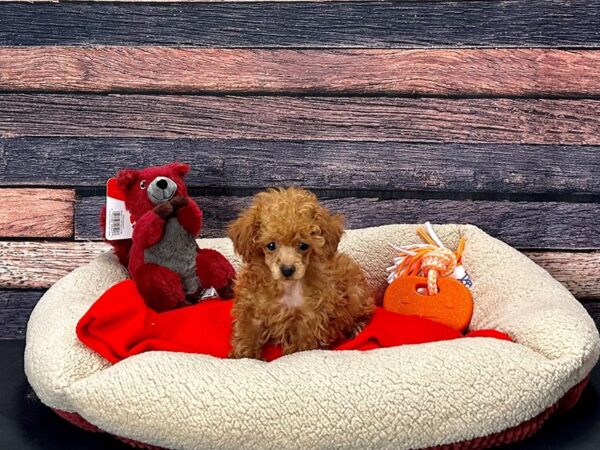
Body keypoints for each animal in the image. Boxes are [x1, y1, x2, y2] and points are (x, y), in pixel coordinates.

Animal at [226, 186, 372, 358]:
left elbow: (299, 348)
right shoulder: (251, 307)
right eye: (271, 245)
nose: (287, 269)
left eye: (303, 246)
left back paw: (357, 327)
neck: (285, 287)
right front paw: (242, 355)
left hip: (357, 294)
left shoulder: (308, 319)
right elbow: (247, 333)